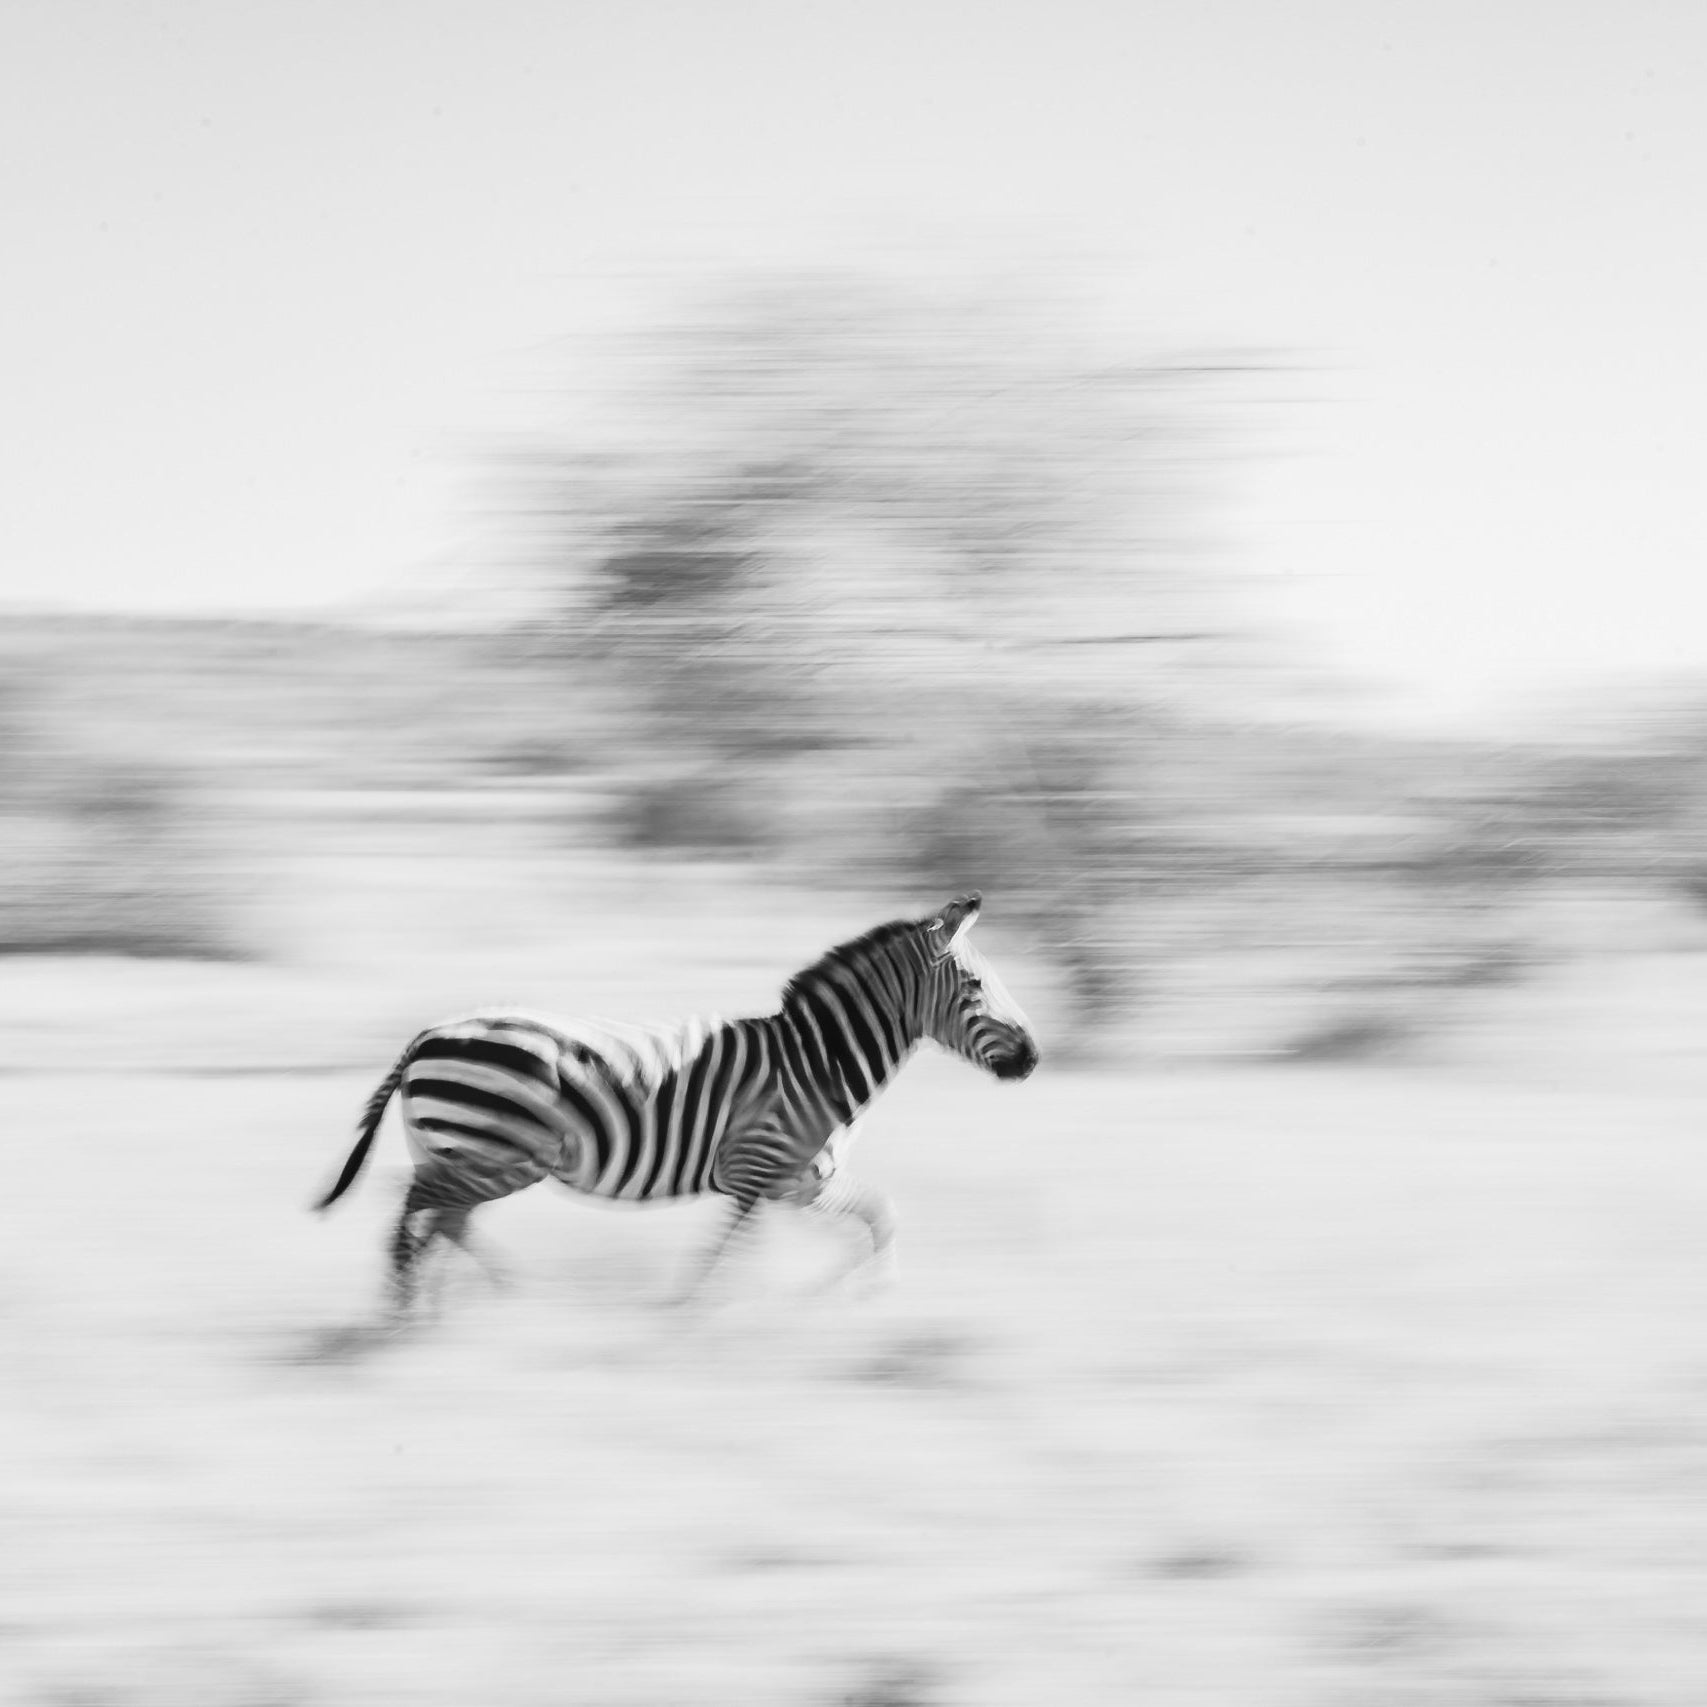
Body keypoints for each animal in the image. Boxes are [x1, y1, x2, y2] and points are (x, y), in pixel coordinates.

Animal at [313, 893, 1037, 1314]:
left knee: (442, 1216)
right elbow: (726, 1255)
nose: (1032, 1057)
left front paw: (855, 1299)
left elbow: (880, 1216)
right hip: (492, 1151)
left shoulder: (799, 1180)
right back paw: (411, 1304)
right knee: (419, 1204)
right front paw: (703, 1320)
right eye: (975, 986)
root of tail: (429, 1034)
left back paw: (483, 1301)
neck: (817, 1064)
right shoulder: (755, 1170)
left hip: (464, 1150)